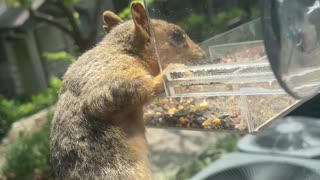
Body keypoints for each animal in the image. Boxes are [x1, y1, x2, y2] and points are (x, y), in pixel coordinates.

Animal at [50, 1, 205, 180]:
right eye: (177, 35)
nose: (204, 56)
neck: (123, 50)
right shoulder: (107, 71)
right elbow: (104, 98)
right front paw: (170, 72)